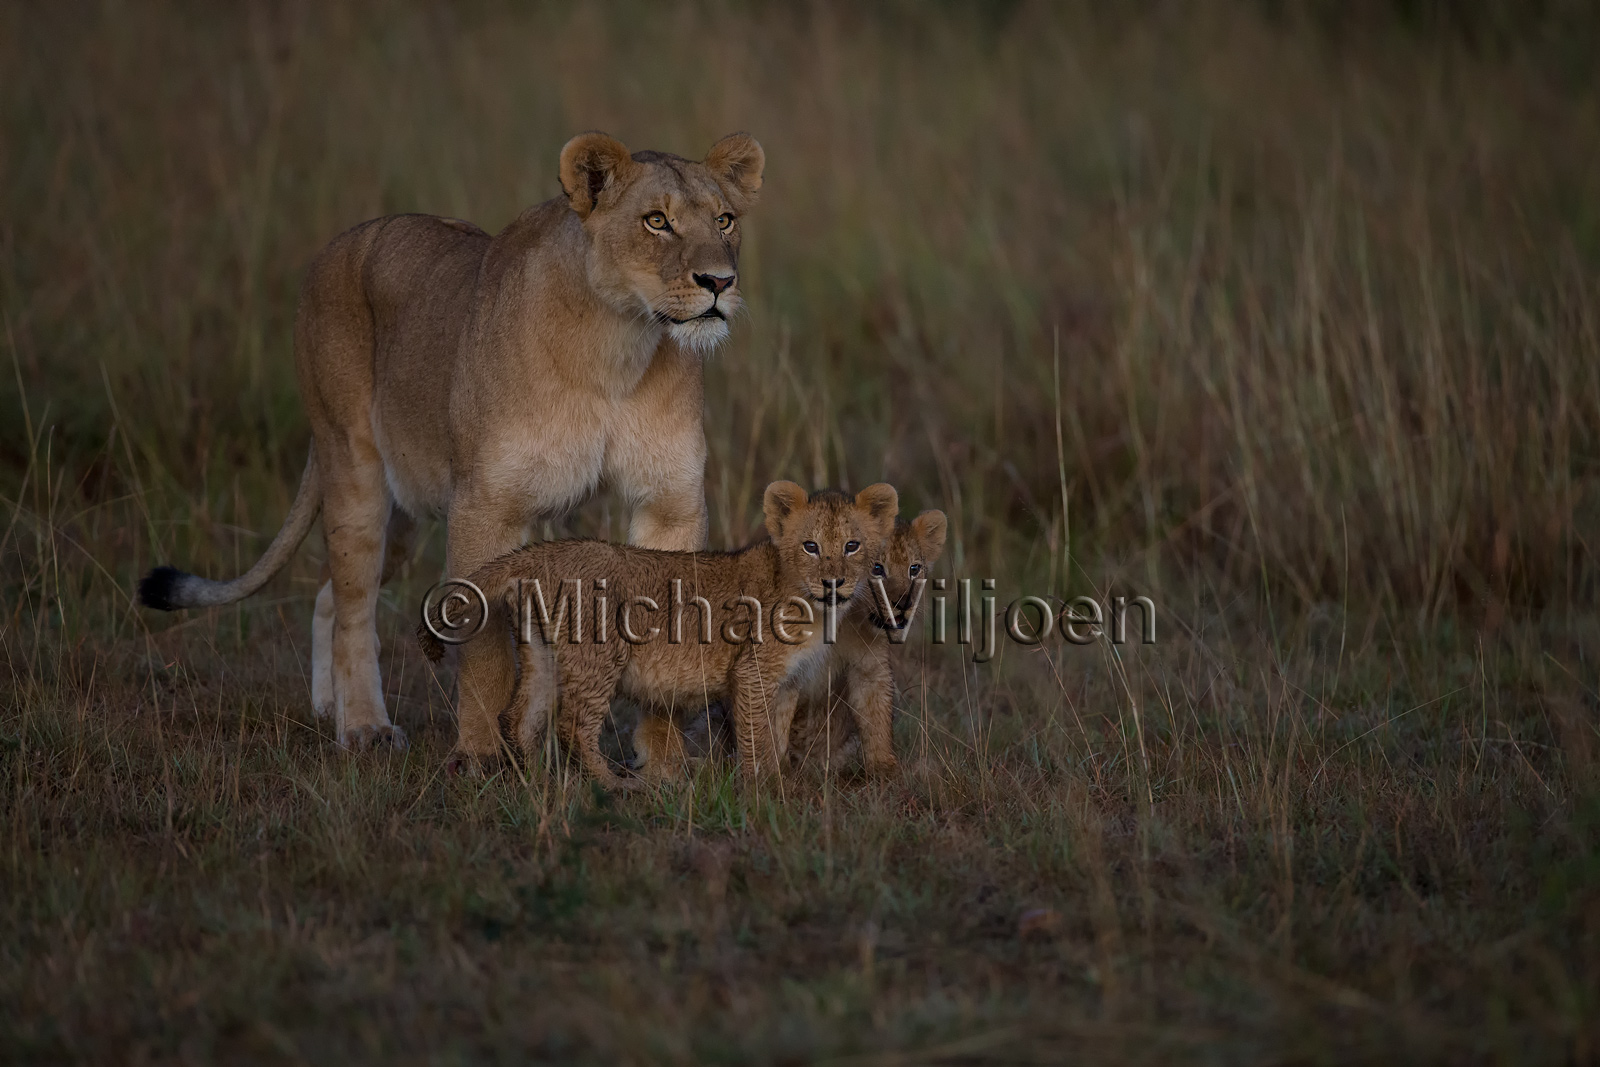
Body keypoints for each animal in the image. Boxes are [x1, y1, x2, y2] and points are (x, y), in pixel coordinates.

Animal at [136, 131, 765, 762]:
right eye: (657, 221)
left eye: (726, 220)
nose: (720, 283)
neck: (618, 347)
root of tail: (338, 243)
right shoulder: (486, 505)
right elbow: (482, 642)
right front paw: (480, 755)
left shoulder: (670, 502)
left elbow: (673, 621)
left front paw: (664, 762)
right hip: (353, 469)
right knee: (354, 603)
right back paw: (363, 728)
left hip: (404, 515)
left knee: (329, 596)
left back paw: (328, 709)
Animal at [430, 481, 898, 788]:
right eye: (810, 546)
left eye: (853, 545)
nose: (834, 582)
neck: (814, 607)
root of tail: (537, 553)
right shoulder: (753, 672)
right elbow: (756, 735)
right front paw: (760, 788)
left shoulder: (786, 682)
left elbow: (776, 732)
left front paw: (777, 779)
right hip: (599, 656)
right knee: (573, 725)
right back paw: (614, 786)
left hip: (542, 652)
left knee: (520, 716)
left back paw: (533, 782)